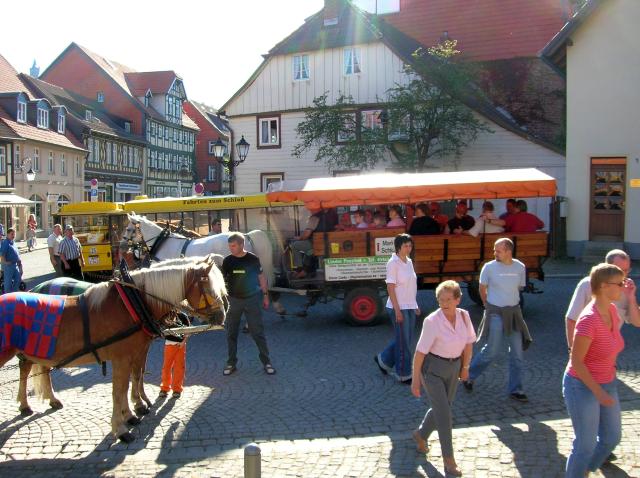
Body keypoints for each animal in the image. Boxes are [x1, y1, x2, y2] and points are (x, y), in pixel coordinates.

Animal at [0, 256, 228, 442]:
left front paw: (133, 411)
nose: (223, 315)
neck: (135, 303)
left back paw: (43, 401)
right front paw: (121, 427)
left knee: (36, 369)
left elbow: (134, 379)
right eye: (209, 289)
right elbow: (119, 389)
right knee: (28, 369)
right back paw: (29, 403)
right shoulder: (122, 357)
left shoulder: (137, 351)